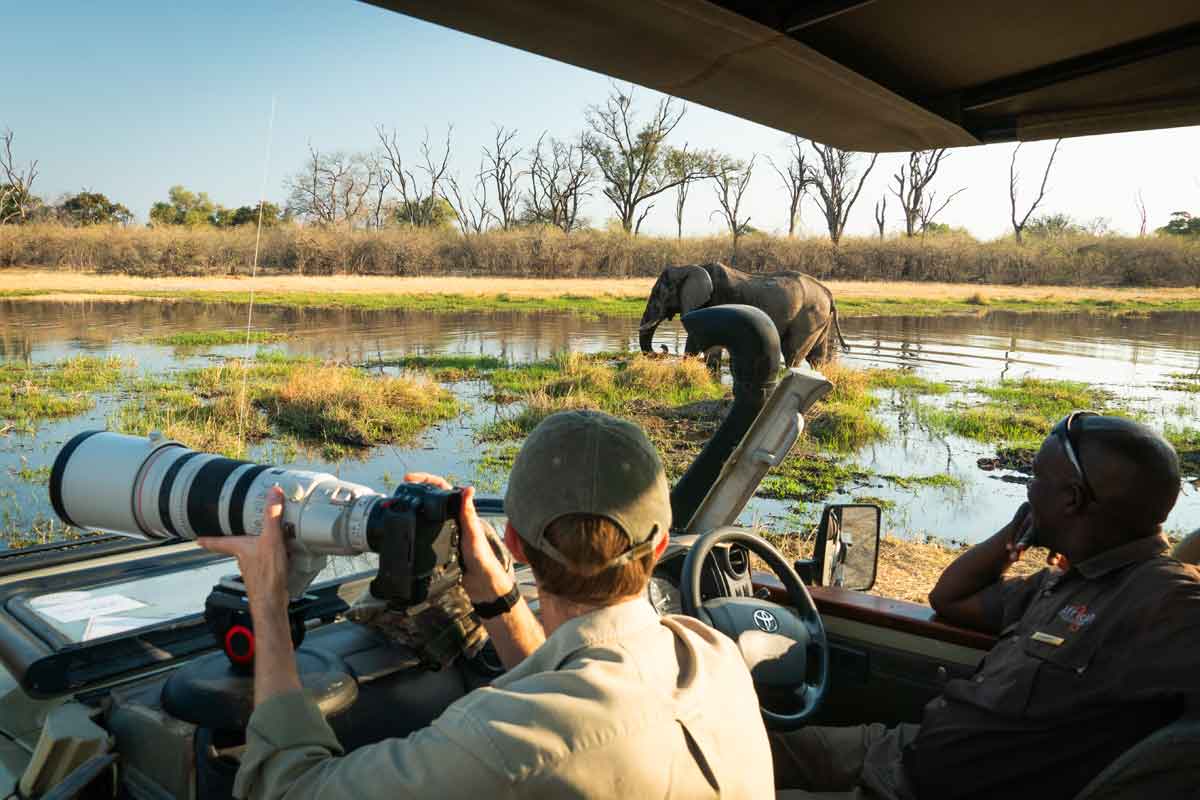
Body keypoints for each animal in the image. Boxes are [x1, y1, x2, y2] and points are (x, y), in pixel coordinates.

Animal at [643, 262, 849, 367]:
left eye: (658, 294)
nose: (662, 348)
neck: (687, 267)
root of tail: (829, 294)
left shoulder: (714, 301)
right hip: (820, 319)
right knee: (816, 358)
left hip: (809, 317)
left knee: (793, 353)